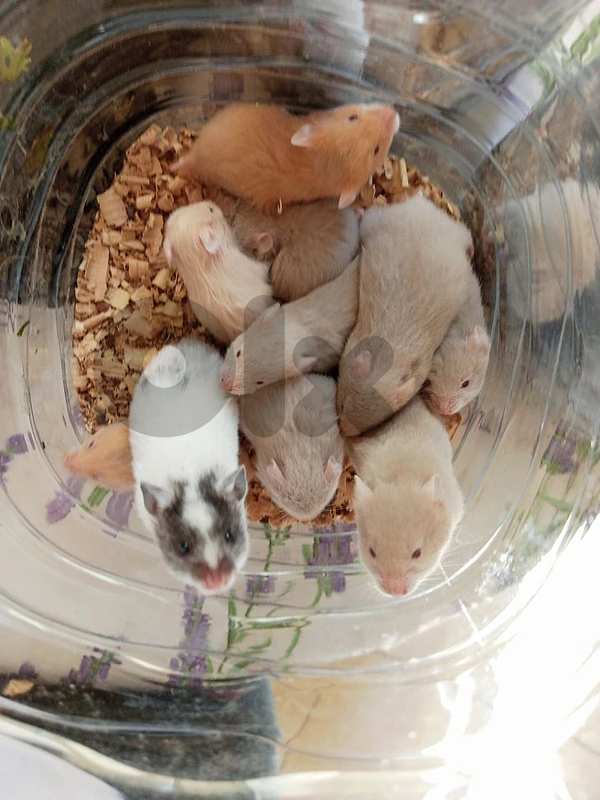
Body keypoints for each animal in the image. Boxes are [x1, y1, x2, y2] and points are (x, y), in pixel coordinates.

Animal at [337, 195, 474, 436]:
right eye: (342, 404)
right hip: (376, 222)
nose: (343, 433)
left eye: (372, 425)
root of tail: (420, 204)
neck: (390, 356)